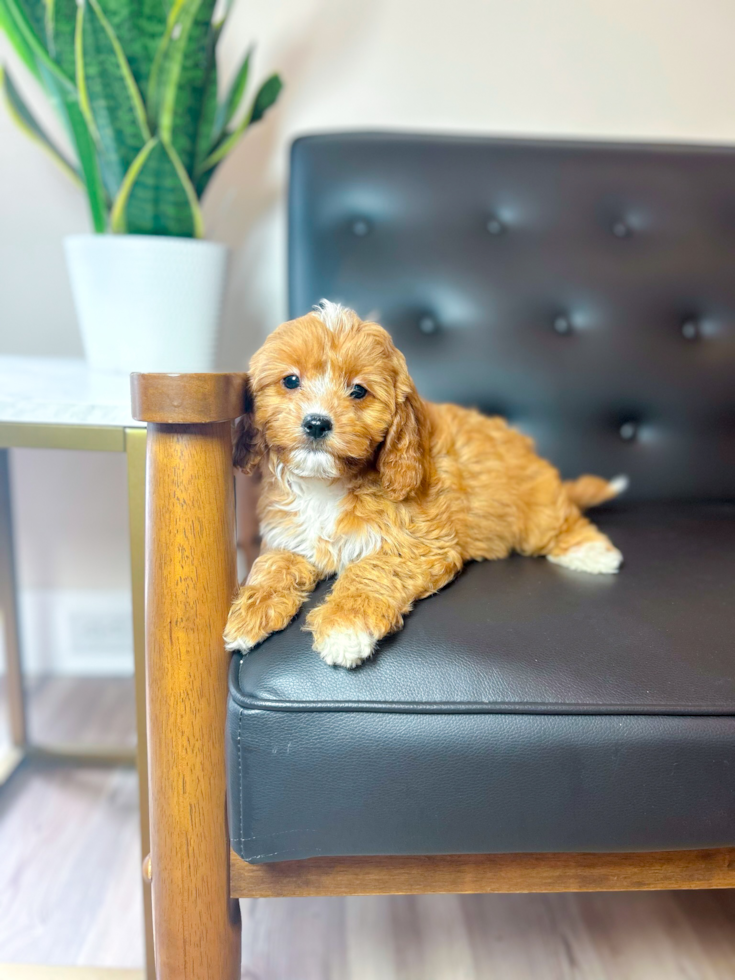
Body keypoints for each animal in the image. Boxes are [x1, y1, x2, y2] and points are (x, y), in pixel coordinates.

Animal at [226, 298, 628, 668]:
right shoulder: (290, 538)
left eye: (358, 391)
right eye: (291, 381)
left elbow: (369, 570)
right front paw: (251, 612)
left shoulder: (418, 545)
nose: (316, 423)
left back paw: (592, 551)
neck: (328, 483)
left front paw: (344, 625)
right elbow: (273, 566)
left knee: (560, 521)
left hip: (535, 507)